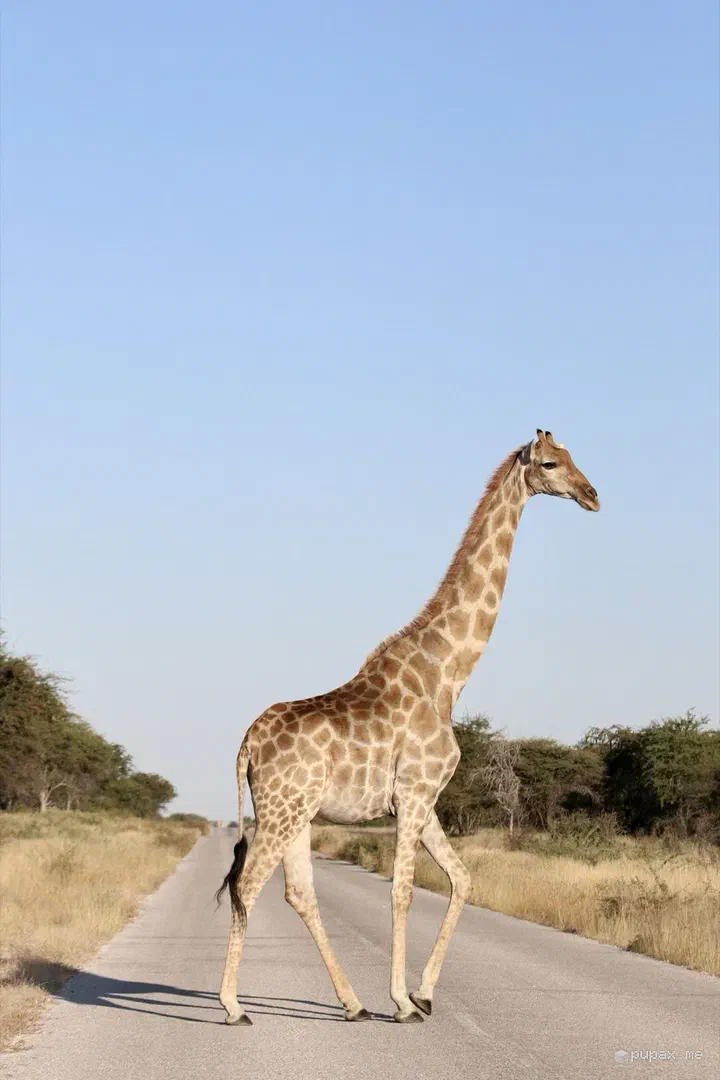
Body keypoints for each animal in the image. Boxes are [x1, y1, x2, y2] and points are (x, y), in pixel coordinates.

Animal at [218, 430, 599, 1025]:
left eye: (575, 457)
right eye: (550, 463)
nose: (592, 494)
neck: (448, 674)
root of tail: (246, 744)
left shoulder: (426, 798)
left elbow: (462, 879)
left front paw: (423, 992)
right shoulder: (416, 792)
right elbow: (403, 891)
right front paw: (401, 1001)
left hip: (296, 812)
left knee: (297, 892)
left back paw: (352, 1004)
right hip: (282, 810)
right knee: (248, 883)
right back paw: (234, 1005)